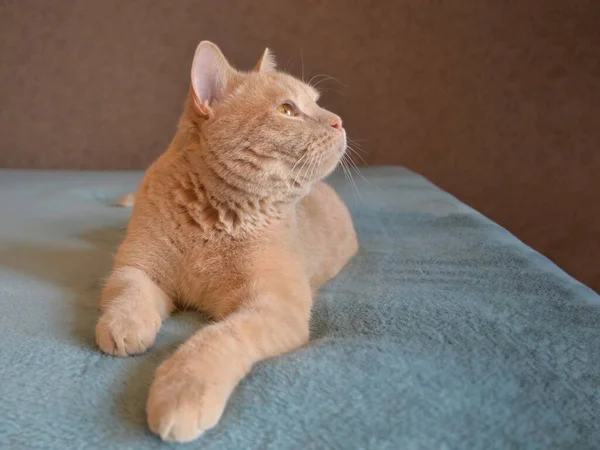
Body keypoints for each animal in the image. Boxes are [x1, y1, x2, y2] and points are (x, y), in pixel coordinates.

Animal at [94, 41, 356, 442]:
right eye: (287, 110)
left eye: (316, 103)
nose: (338, 120)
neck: (213, 219)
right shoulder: (136, 266)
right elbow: (129, 292)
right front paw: (125, 325)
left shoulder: (271, 307)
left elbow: (218, 338)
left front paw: (182, 391)